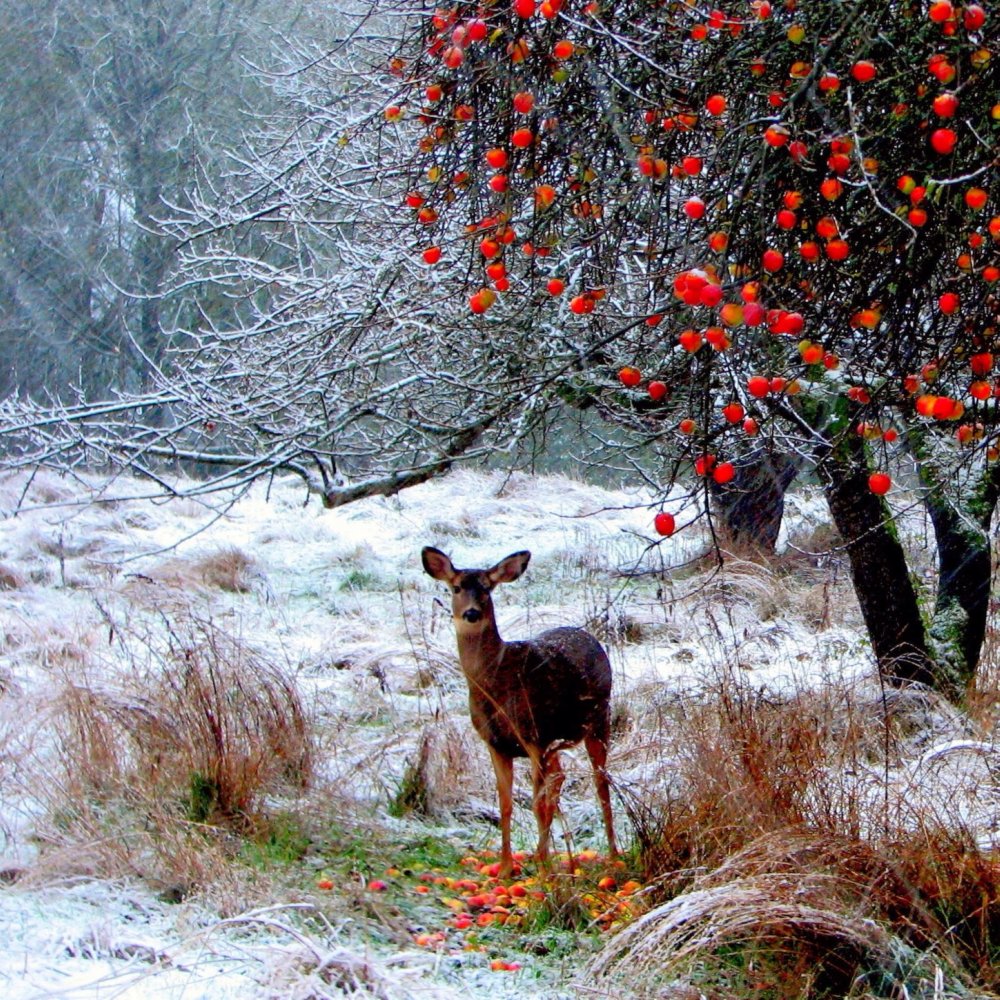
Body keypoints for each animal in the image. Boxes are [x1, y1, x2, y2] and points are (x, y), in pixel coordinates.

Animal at [418, 544, 612, 880]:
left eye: (486, 588)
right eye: (456, 588)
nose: (471, 613)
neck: (494, 682)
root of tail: (590, 637)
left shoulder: (531, 735)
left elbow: (537, 804)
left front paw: (545, 872)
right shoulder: (496, 743)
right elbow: (506, 804)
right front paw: (508, 868)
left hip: (598, 719)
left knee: (601, 784)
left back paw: (612, 856)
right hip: (555, 740)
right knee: (559, 776)